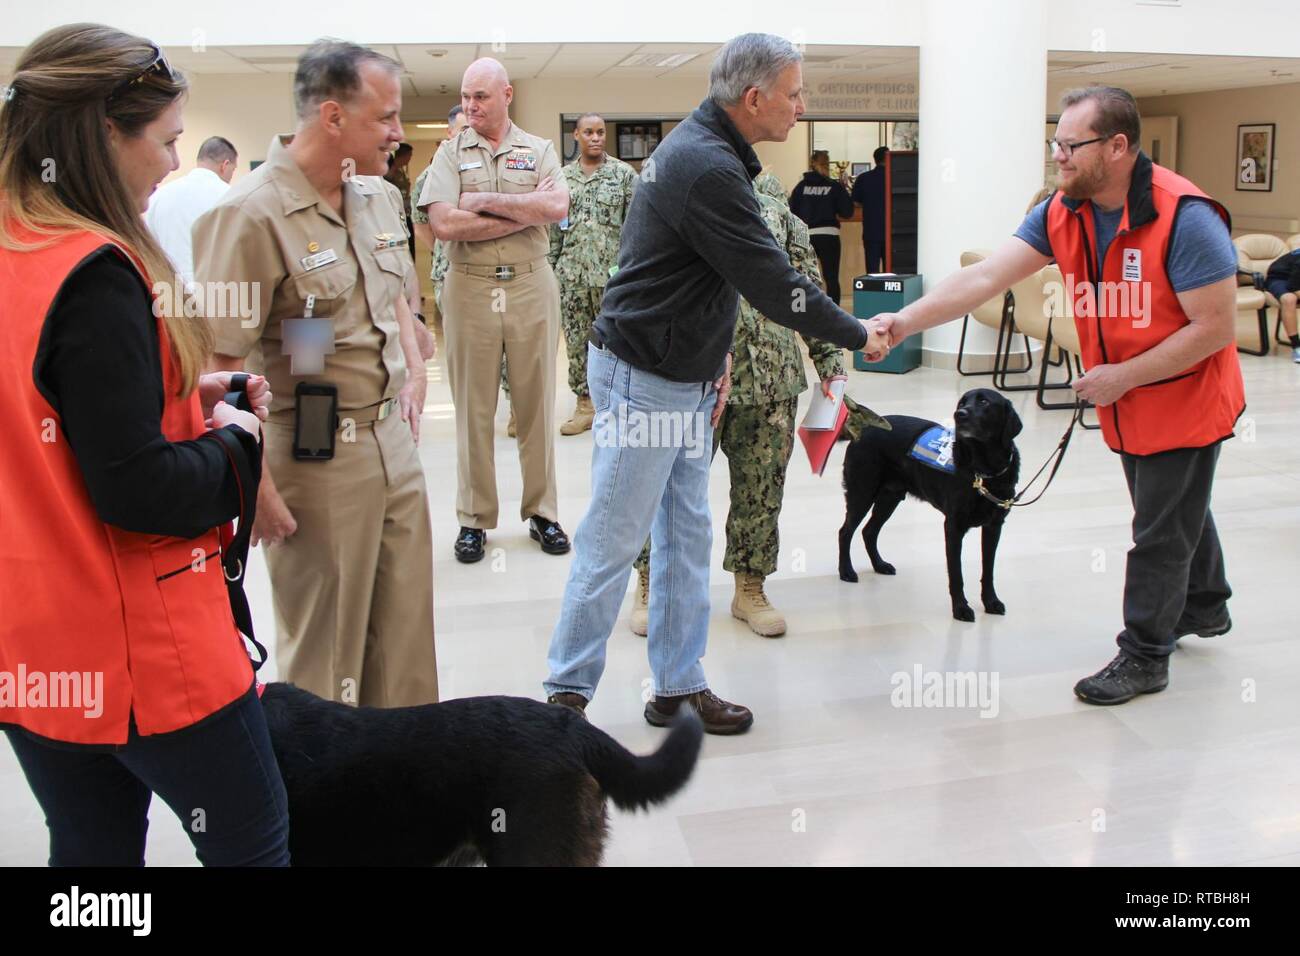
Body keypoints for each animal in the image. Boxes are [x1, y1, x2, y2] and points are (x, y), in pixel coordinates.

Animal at [842, 387, 1024, 621]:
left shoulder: (994, 526)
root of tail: (864, 429)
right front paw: (961, 608)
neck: (985, 471)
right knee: (846, 532)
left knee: (869, 531)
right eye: (962, 402)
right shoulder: (953, 527)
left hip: (890, 497)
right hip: (862, 492)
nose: (959, 414)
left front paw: (991, 602)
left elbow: (988, 570)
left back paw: (880, 565)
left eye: (984, 402)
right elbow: (956, 574)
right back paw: (846, 571)